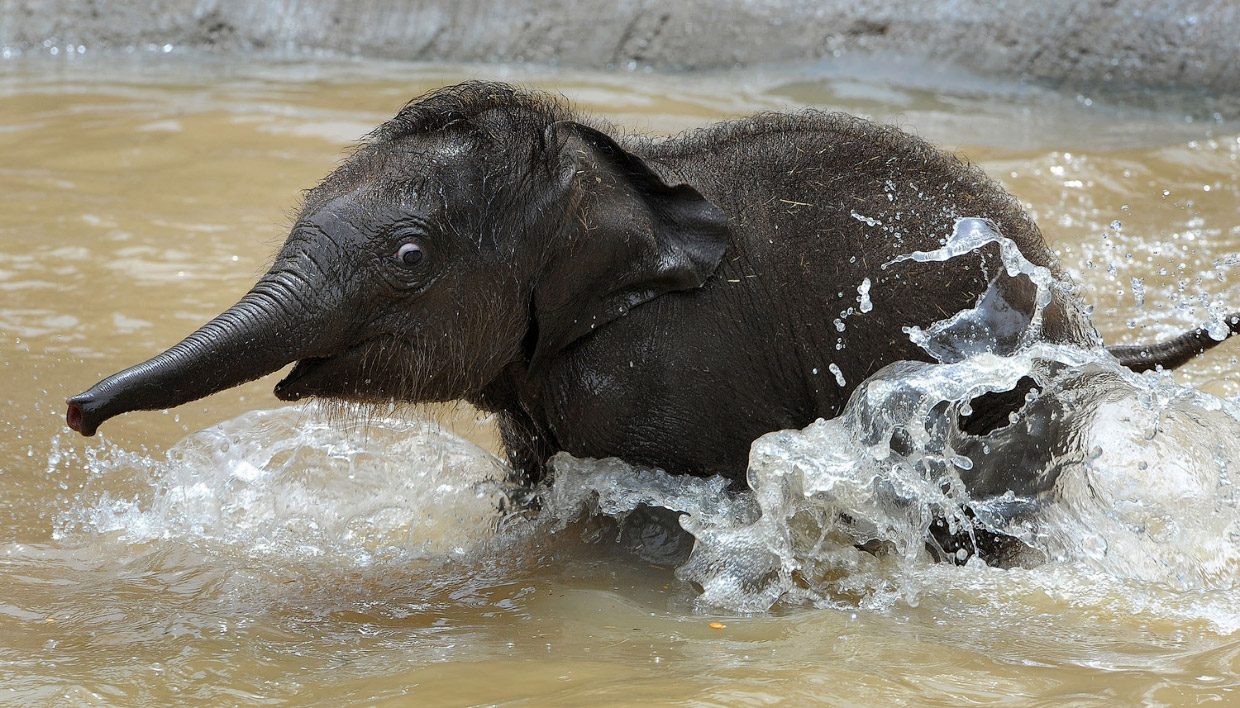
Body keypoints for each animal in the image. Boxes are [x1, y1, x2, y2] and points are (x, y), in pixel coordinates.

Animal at [70, 81, 1240, 493]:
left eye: (407, 260)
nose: (77, 413)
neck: (614, 180)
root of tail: (1088, 324)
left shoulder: (661, 377)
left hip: (1009, 412)